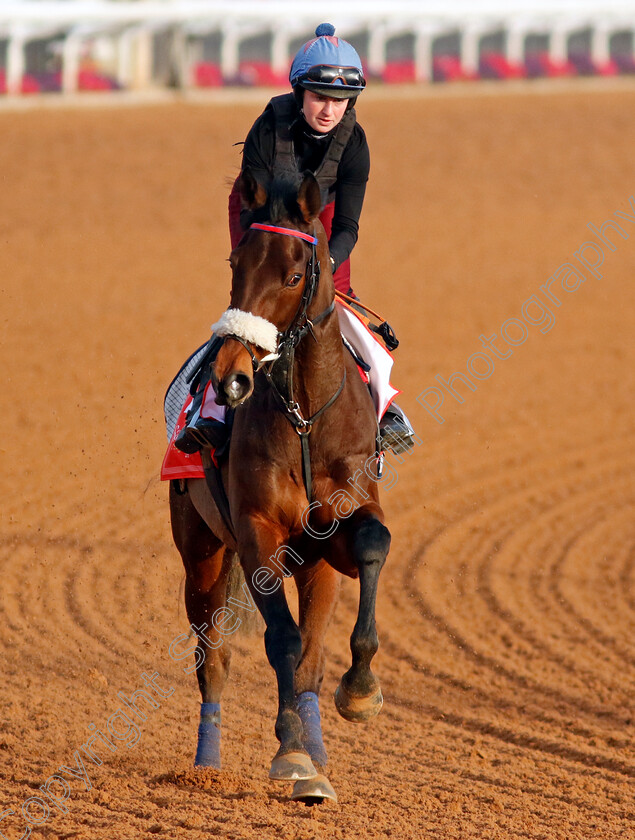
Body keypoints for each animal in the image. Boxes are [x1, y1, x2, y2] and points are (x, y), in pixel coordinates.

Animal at [171, 167, 392, 804]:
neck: (306, 418)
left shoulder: (340, 526)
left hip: (314, 567)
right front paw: (290, 751)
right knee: (213, 660)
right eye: (234, 264)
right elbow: (282, 643)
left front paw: (359, 691)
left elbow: (372, 546)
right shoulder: (256, 532)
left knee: (313, 657)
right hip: (201, 555)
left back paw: (318, 761)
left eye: (294, 275)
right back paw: (207, 765)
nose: (230, 377)